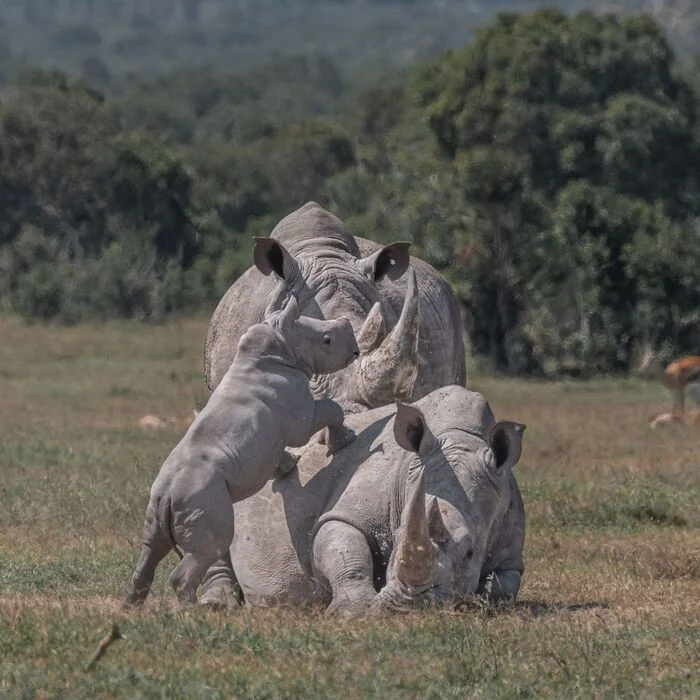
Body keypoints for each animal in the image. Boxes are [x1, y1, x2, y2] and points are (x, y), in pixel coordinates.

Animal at [123, 292, 360, 604]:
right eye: (327, 340)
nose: (355, 349)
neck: (281, 347)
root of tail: (168, 497)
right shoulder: (300, 415)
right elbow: (330, 409)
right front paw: (345, 441)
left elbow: (280, 455)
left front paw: (289, 465)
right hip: (202, 497)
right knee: (207, 547)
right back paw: (193, 610)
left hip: (159, 501)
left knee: (151, 548)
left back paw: (130, 608)